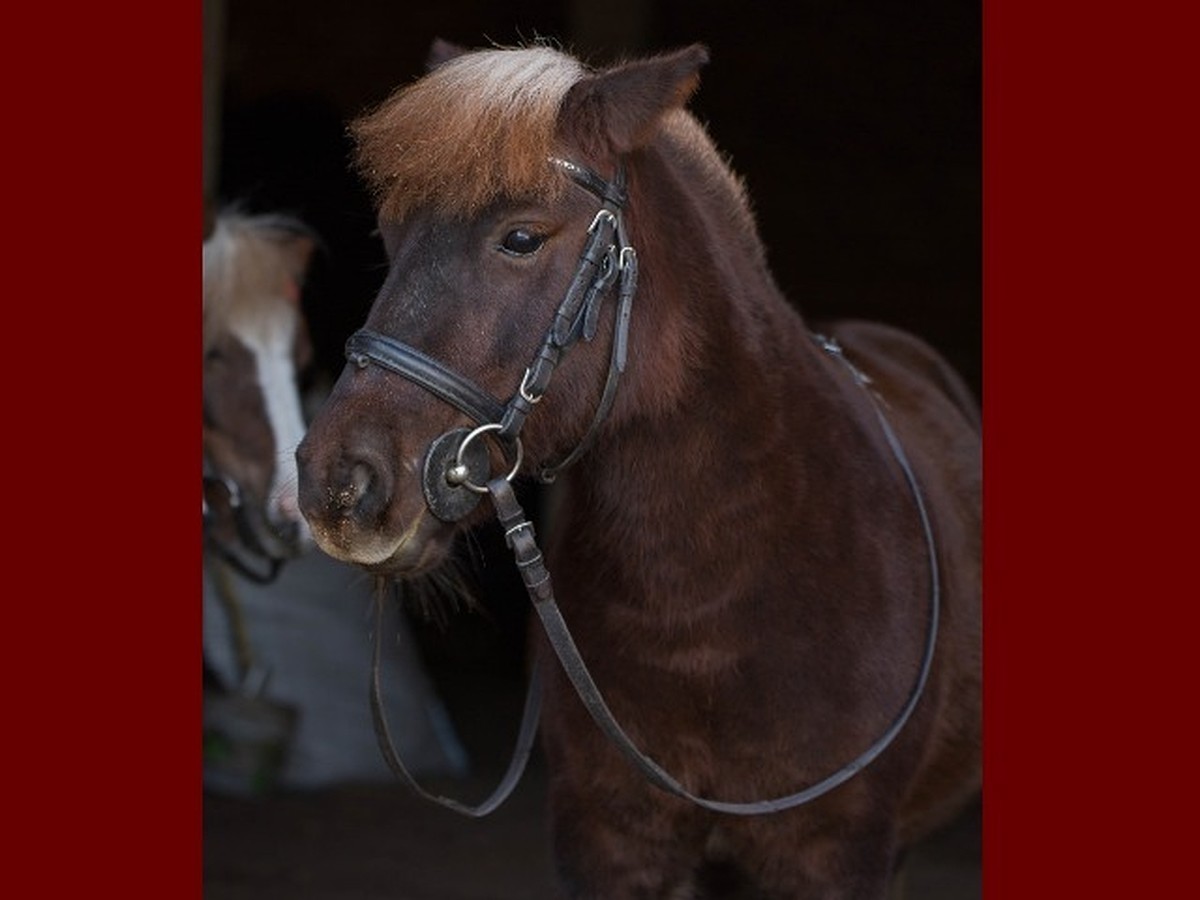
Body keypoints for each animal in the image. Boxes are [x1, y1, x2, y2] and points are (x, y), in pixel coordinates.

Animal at [295, 38, 979, 897]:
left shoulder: (835, 858)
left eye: (521, 238)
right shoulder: (613, 850)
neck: (708, 601)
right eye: (390, 234)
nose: (336, 483)